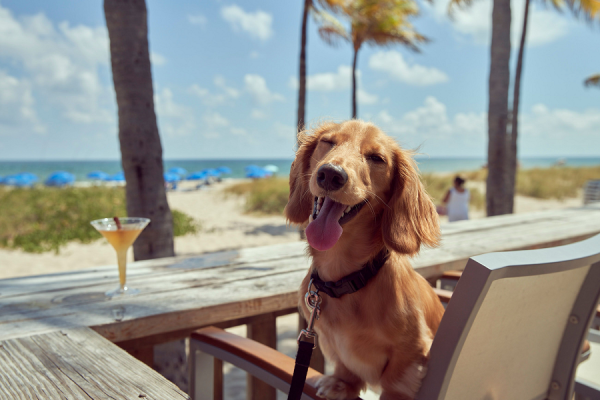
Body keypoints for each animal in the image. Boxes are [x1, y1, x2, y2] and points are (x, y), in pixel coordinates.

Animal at [286, 120, 446, 398]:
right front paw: (342, 384)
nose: (331, 174)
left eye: (376, 158)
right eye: (328, 142)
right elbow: (345, 366)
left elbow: (396, 381)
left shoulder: (414, 348)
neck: (347, 280)